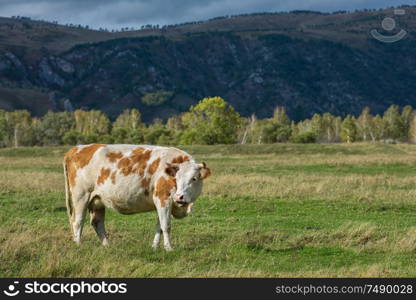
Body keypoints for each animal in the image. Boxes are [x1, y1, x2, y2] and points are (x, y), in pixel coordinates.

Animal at [63, 144, 211, 250]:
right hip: (81, 197)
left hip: (97, 200)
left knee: (97, 222)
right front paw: (169, 248)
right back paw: (78, 245)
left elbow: (158, 226)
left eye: (194, 178)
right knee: (78, 221)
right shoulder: (163, 198)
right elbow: (166, 225)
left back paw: (107, 246)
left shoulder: (161, 203)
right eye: (176, 178)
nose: (180, 197)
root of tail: (76, 148)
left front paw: (154, 247)